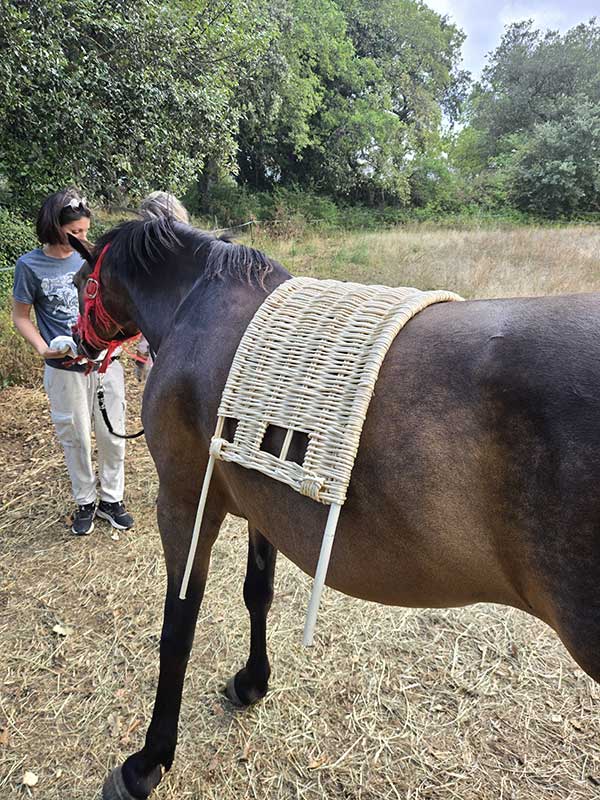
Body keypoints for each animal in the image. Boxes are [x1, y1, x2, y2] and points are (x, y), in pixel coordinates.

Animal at [69, 218, 600, 799]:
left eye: (77, 283)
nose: (74, 343)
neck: (195, 305)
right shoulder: (261, 502)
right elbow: (258, 594)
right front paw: (253, 682)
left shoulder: (185, 501)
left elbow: (178, 627)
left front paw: (148, 761)